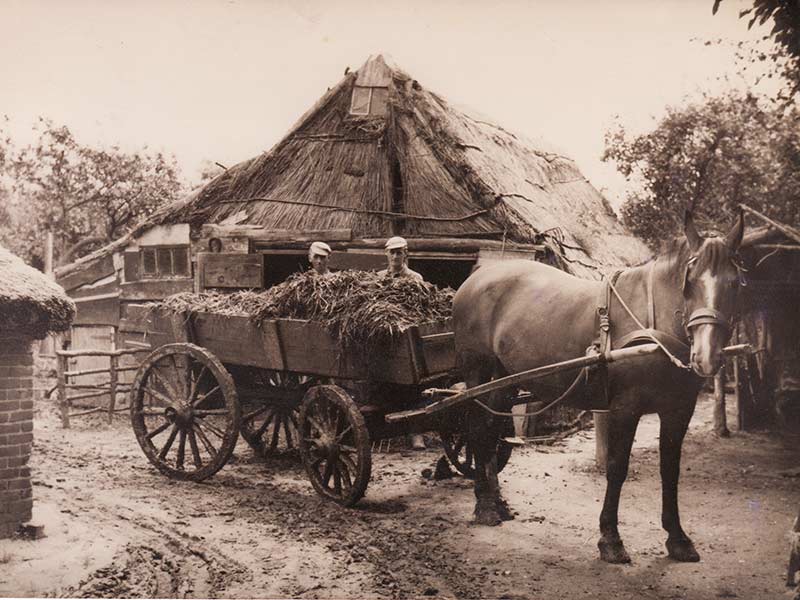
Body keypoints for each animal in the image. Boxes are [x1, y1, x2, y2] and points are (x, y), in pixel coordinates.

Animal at [454, 212, 748, 564]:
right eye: (689, 282)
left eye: (735, 283)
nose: (705, 357)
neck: (655, 326)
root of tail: (476, 279)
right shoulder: (625, 409)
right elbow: (617, 468)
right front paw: (610, 539)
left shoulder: (678, 410)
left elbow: (670, 470)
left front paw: (677, 539)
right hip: (478, 374)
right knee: (477, 431)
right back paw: (484, 506)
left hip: (504, 380)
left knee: (491, 429)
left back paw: (496, 502)